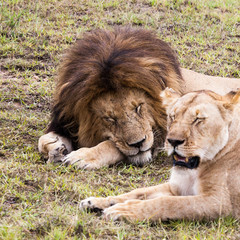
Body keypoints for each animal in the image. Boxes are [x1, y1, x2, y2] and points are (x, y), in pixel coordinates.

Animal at [38, 26, 239, 169]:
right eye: (109, 118)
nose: (138, 144)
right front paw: (55, 147)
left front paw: (83, 156)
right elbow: (43, 141)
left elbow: (111, 145)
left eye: (139, 107)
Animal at [79, 88, 240, 221]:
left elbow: (169, 203)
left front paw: (125, 210)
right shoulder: (176, 188)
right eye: (173, 116)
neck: (194, 171)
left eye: (198, 119)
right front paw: (98, 201)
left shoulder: (221, 202)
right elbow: (138, 192)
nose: (173, 141)